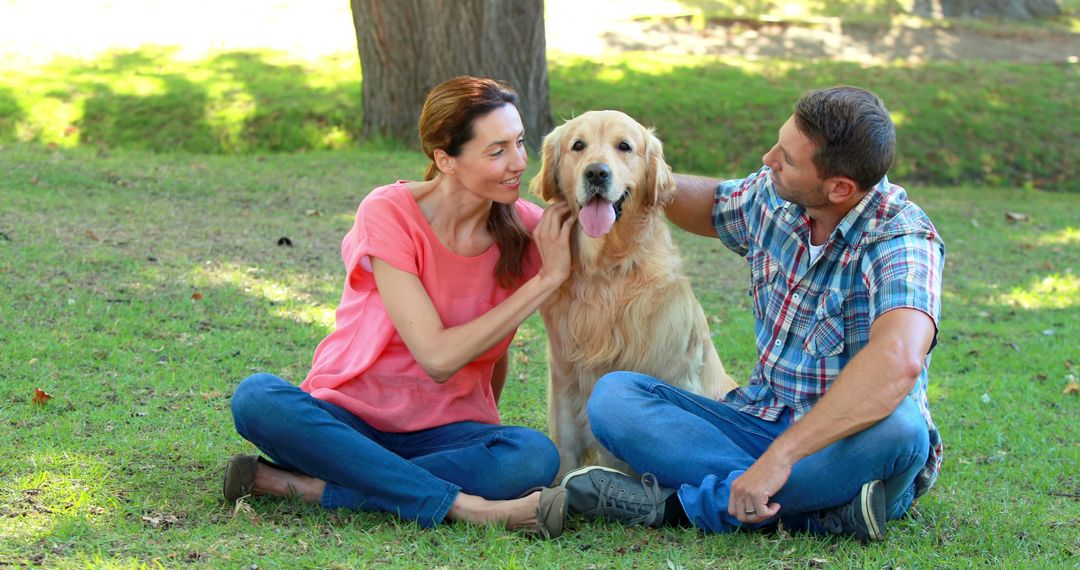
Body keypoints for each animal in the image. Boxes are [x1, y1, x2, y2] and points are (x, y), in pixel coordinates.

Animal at [533, 109, 743, 479]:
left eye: (624, 146)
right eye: (578, 145)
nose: (596, 172)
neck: (605, 270)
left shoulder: (673, 368)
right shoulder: (563, 372)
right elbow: (565, 446)